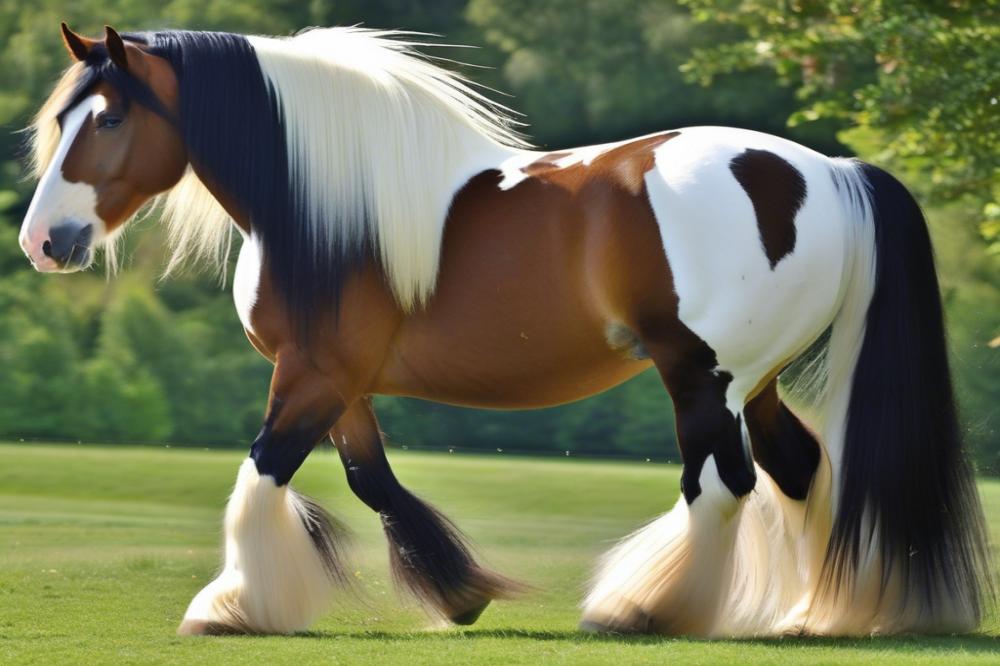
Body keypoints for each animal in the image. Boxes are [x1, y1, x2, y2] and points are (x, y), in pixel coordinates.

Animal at [17, 26, 992, 636]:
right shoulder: (342, 383)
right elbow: (372, 484)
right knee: (799, 469)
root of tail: (829, 172)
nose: (42, 242)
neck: (322, 209)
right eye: (59, 120)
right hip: (755, 378)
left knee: (722, 483)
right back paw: (819, 613)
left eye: (108, 118)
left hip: (701, 375)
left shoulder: (311, 376)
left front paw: (233, 607)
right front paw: (460, 595)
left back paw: (640, 609)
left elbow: (258, 478)